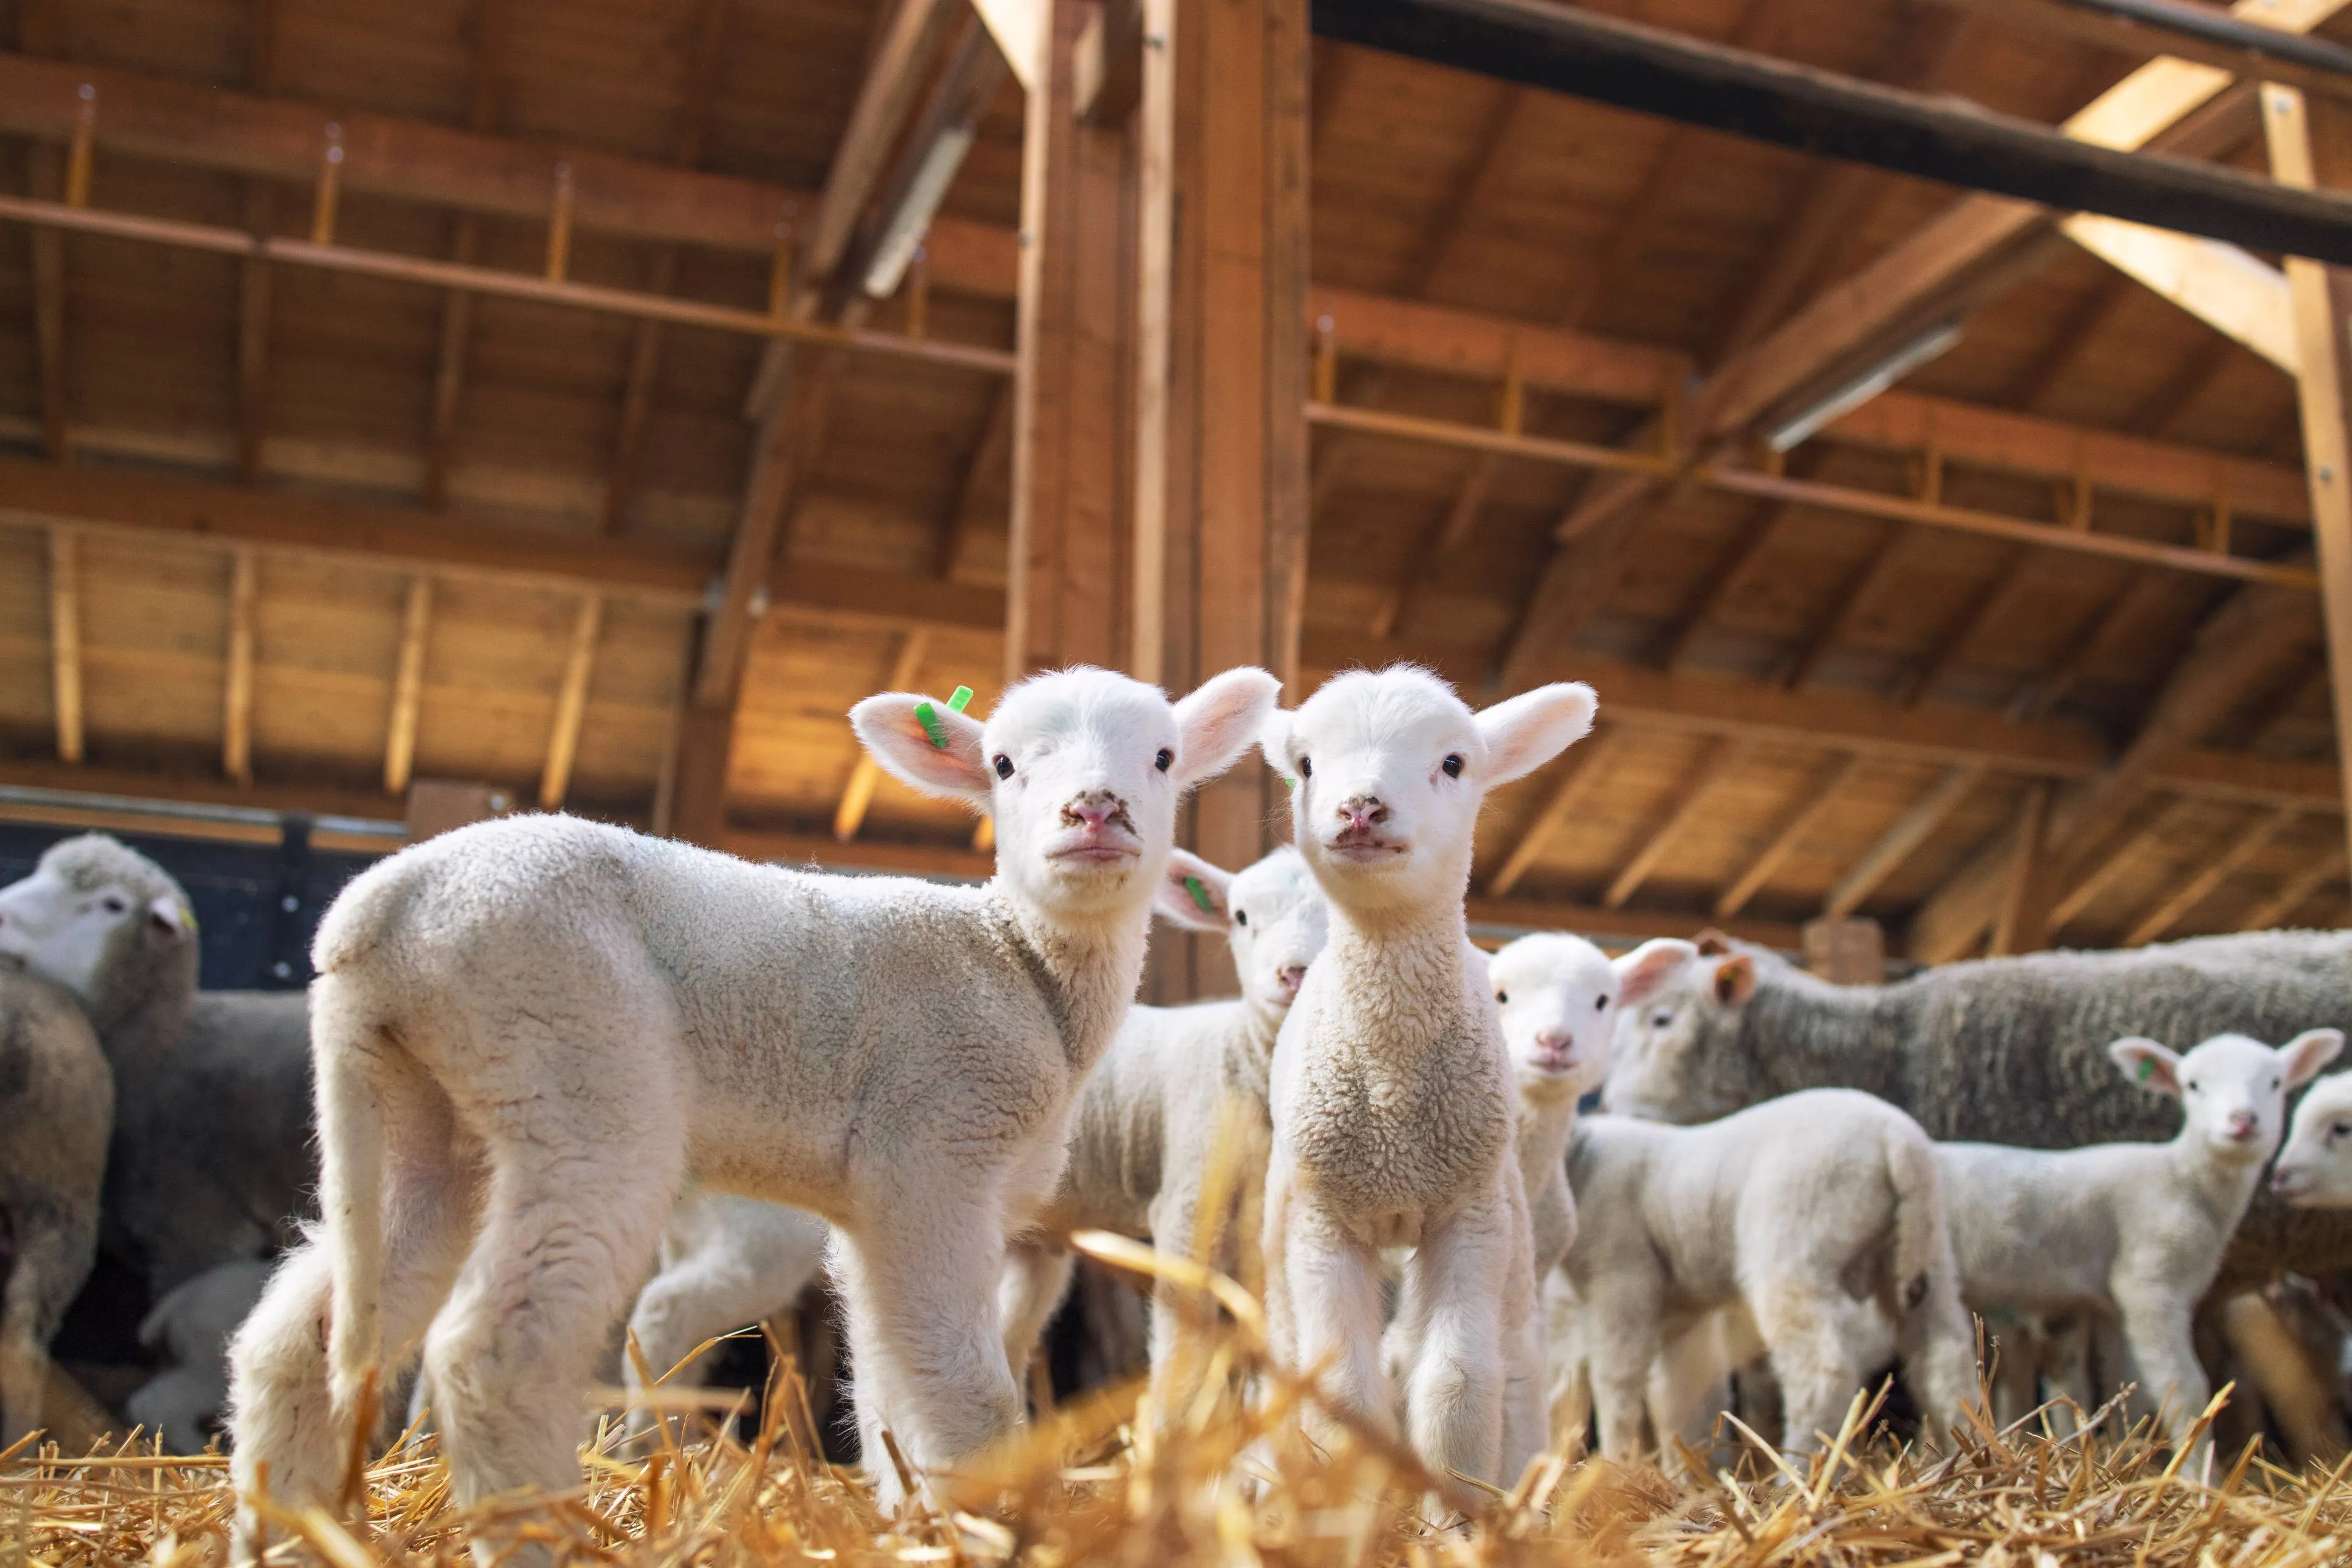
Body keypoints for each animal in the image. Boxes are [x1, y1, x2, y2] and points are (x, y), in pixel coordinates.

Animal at [224, 664, 1278, 1535]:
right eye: (1005, 764)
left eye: (1163, 757)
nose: (1096, 812)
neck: (1019, 961)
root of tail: (381, 909)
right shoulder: (934, 1150)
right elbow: (966, 1385)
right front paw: (986, 1516)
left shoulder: (880, 1206)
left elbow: (891, 1373)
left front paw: (908, 1508)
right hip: (575, 1064)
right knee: (495, 1347)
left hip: (428, 1110)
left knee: (298, 1337)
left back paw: (282, 1530)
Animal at [1257, 665, 1596, 1498]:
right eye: (1305, 765)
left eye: (1452, 762)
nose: (1361, 807)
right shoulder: (1324, 1220)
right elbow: (1343, 1387)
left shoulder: (1466, 1213)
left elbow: (1458, 1381)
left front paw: (1457, 1510)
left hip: (1509, 1220)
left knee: (1514, 1363)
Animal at [1553, 1089, 1977, 1463]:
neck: (1582, 1162)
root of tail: (1897, 1140)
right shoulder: (1680, 1309)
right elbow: (1680, 1397)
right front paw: (1687, 1476)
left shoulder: (1621, 1278)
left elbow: (1616, 1383)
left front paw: (1616, 1465)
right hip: (1924, 1251)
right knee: (1945, 1359)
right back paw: (1965, 1453)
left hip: (1793, 1245)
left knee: (1822, 1374)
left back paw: (1799, 1473)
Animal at [1934, 1028, 2341, 1458]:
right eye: (2193, 1085)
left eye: (2275, 1082)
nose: (2242, 1121)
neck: (2184, 1177)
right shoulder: (2149, 1283)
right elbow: (2186, 1388)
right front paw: (2197, 1468)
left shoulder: (2113, 1308)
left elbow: (2126, 1385)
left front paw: (2123, 1451)